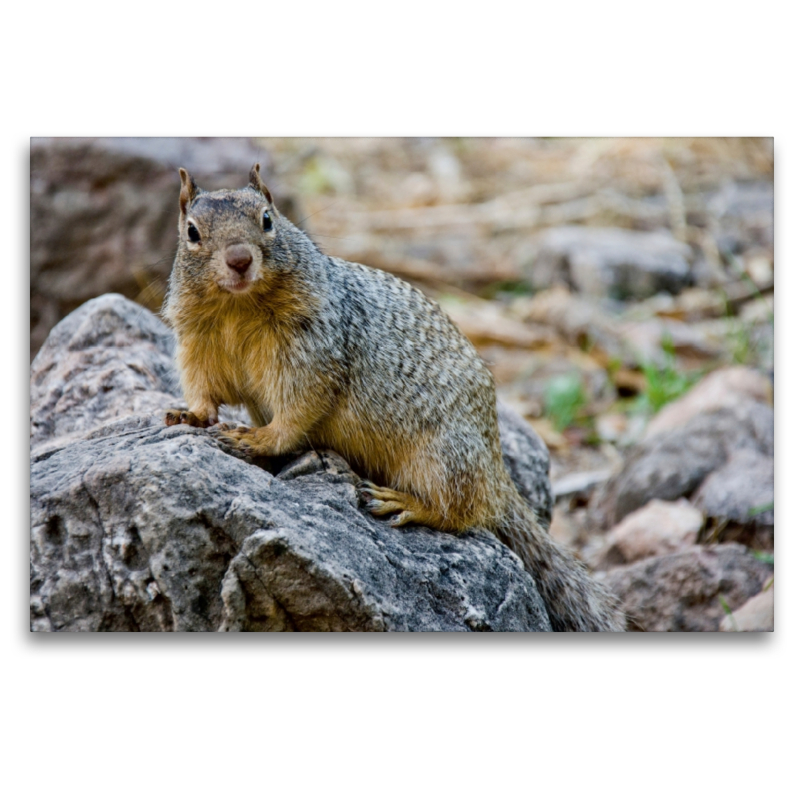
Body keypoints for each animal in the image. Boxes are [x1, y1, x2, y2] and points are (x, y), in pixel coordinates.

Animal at [162, 166, 624, 636]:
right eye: (192, 232)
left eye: (268, 219)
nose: (239, 259)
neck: (238, 306)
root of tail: (496, 470)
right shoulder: (197, 343)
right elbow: (204, 389)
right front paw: (190, 413)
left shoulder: (312, 353)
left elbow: (297, 410)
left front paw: (257, 438)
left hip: (441, 457)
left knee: (462, 511)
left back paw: (405, 503)